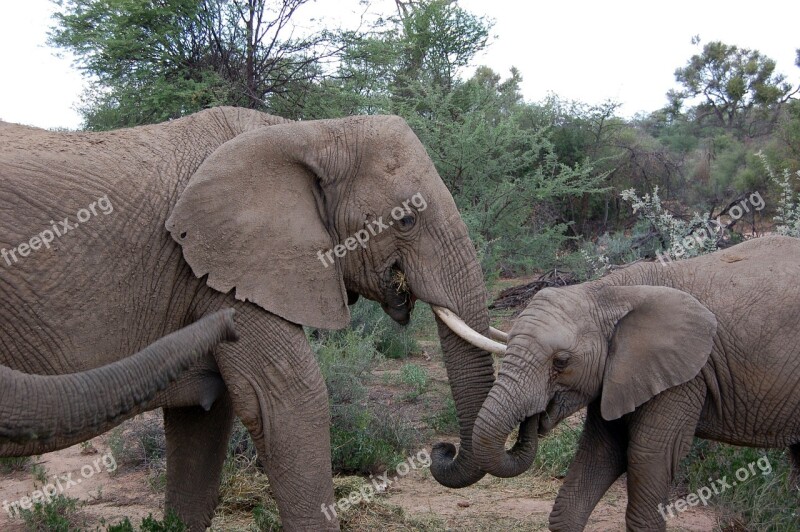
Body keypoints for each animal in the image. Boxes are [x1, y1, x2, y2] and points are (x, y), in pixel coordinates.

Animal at [0, 107, 500, 528]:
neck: (311, 132)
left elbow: (204, 421)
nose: (442, 450)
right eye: (405, 221)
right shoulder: (227, 270)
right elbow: (290, 402)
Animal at [468, 237, 800, 532]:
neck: (608, 291)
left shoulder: (685, 375)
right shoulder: (619, 376)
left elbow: (647, 455)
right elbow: (599, 454)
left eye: (561, 362)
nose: (533, 419)